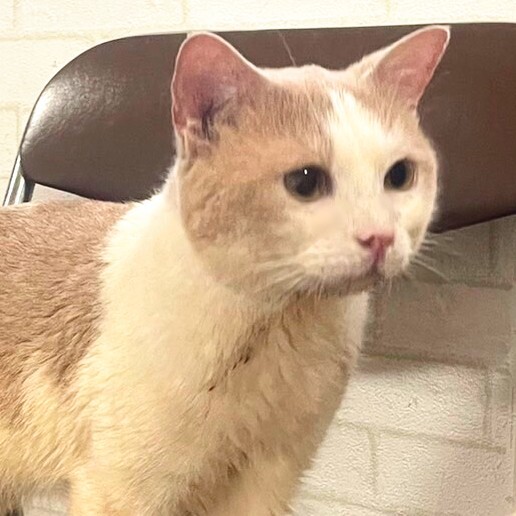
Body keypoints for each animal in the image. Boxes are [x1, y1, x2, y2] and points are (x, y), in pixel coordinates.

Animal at [0, 25, 449, 515]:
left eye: (400, 175)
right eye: (305, 182)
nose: (379, 236)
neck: (279, 327)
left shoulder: (271, 477)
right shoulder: (122, 487)